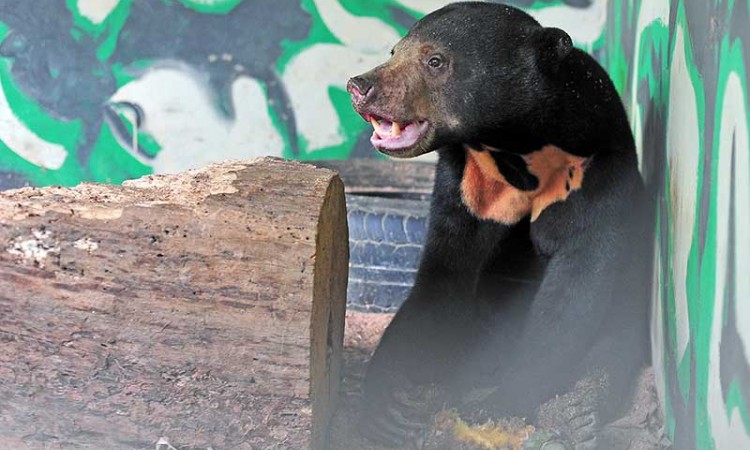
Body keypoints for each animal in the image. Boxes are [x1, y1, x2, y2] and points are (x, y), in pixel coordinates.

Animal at [346, 3, 652, 450]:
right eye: (394, 50)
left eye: (435, 61)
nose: (359, 86)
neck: (517, 150)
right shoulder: (468, 184)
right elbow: (445, 273)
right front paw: (390, 404)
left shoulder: (596, 172)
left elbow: (575, 285)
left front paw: (497, 405)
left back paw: (578, 409)